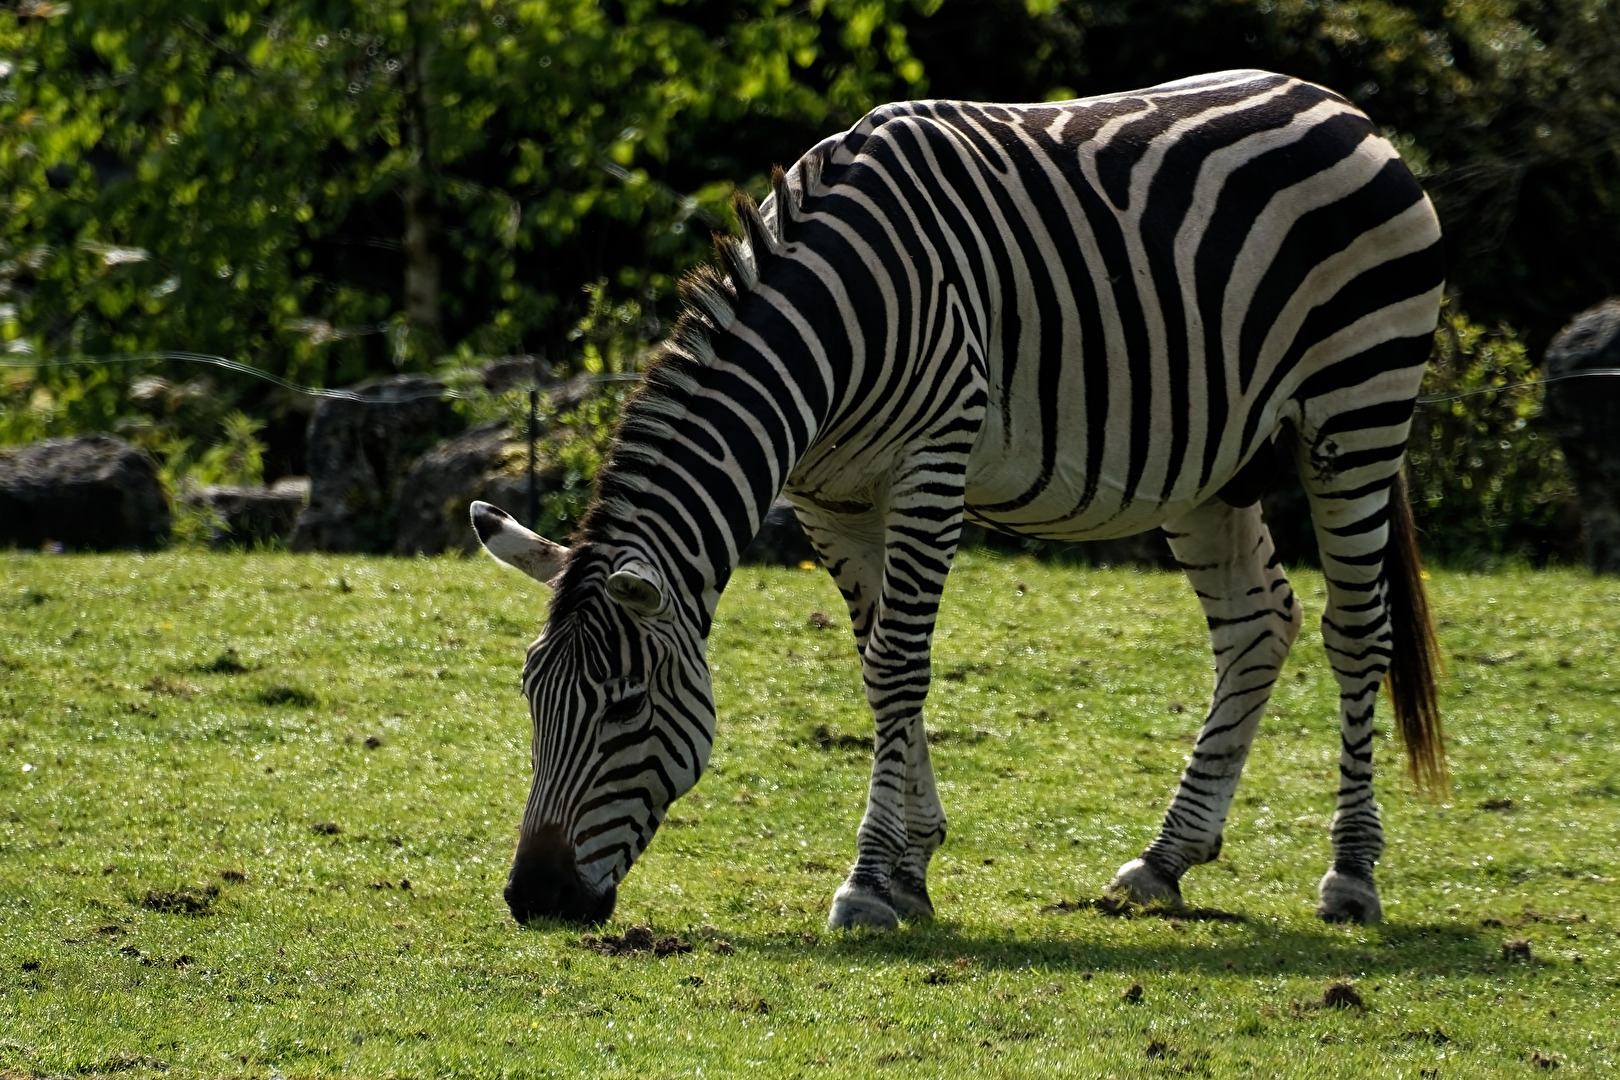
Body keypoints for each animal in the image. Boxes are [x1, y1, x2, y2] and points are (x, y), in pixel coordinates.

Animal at [470, 68, 1446, 930]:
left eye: (625, 707)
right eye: (530, 698)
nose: (534, 899)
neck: (832, 320)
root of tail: (1339, 104)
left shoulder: (930, 466)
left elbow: (899, 666)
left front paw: (867, 883)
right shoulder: (829, 497)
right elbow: (876, 663)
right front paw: (912, 869)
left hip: (1357, 407)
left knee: (1357, 633)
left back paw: (1351, 875)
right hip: (1213, 460)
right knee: (1258, 625)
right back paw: (1164, 860)